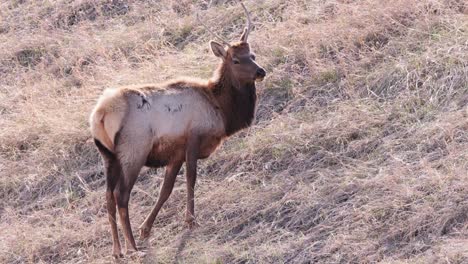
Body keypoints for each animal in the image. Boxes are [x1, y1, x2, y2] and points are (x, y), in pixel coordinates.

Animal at [88, 2, 264, 258]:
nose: (261, 71)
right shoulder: (193, 138)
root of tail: (101, 115)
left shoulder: (175, 153)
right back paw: (133, 248)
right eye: (235, 61)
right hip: (133, 151)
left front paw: (146, 228)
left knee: (108, 198)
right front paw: (190, 220)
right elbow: (191, 179)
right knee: (121, 196)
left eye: (252, 55)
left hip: (107, 156)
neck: (220, 108)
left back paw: (117, 251)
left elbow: (166, 189)